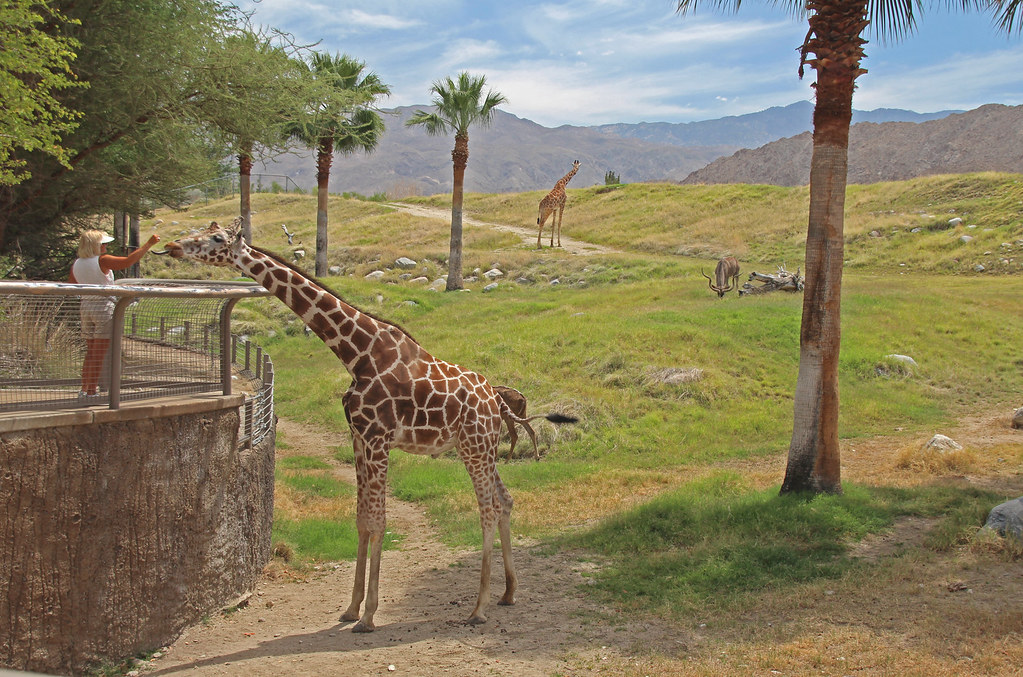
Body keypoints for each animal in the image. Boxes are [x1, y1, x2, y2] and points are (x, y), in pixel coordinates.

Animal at [160, 219, 576, 632]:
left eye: (216, 238)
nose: (172, 246)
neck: (356, 354)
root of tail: (497, 401)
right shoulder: (358, 437)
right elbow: (361, 520)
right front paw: (350, 608)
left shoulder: (378, 438)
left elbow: (378, 521)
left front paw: (369, 615)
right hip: (478, 447)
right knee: (505, 500)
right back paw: (508, 592)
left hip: (475, 447)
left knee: (487, 508)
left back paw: (478, 608)